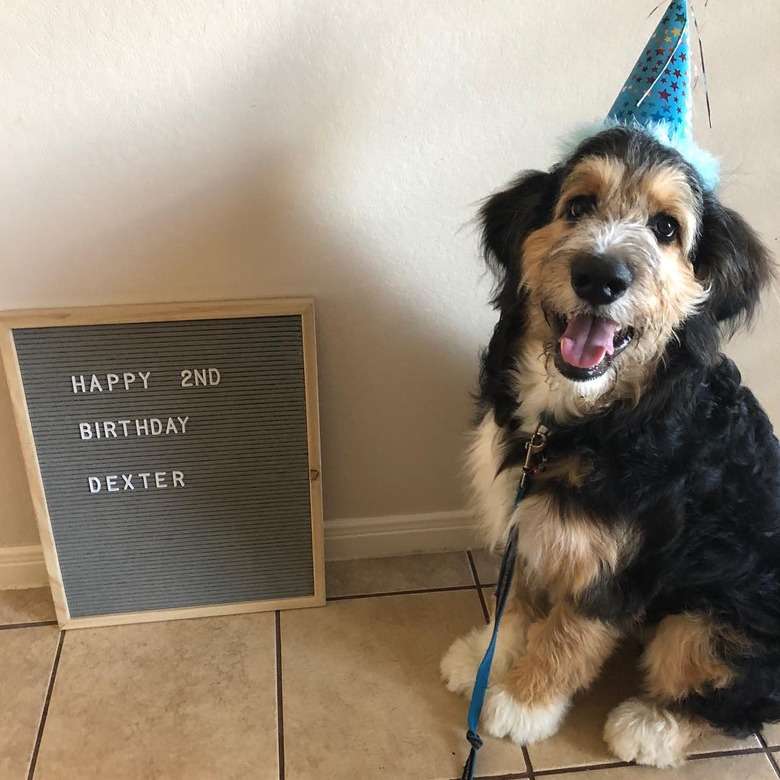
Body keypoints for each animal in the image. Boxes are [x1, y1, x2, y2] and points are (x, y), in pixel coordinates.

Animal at [442, 128, 776, 768]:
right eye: (578, 206)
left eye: (667, 228)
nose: (600, 277)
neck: (576, 419)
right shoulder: (530, 516)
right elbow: (516, 596)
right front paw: (484, 656)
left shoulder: (619, 567)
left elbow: (570, 635)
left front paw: (522, 703)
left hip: (706, 623)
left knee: (739, 706)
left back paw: (650, 726)